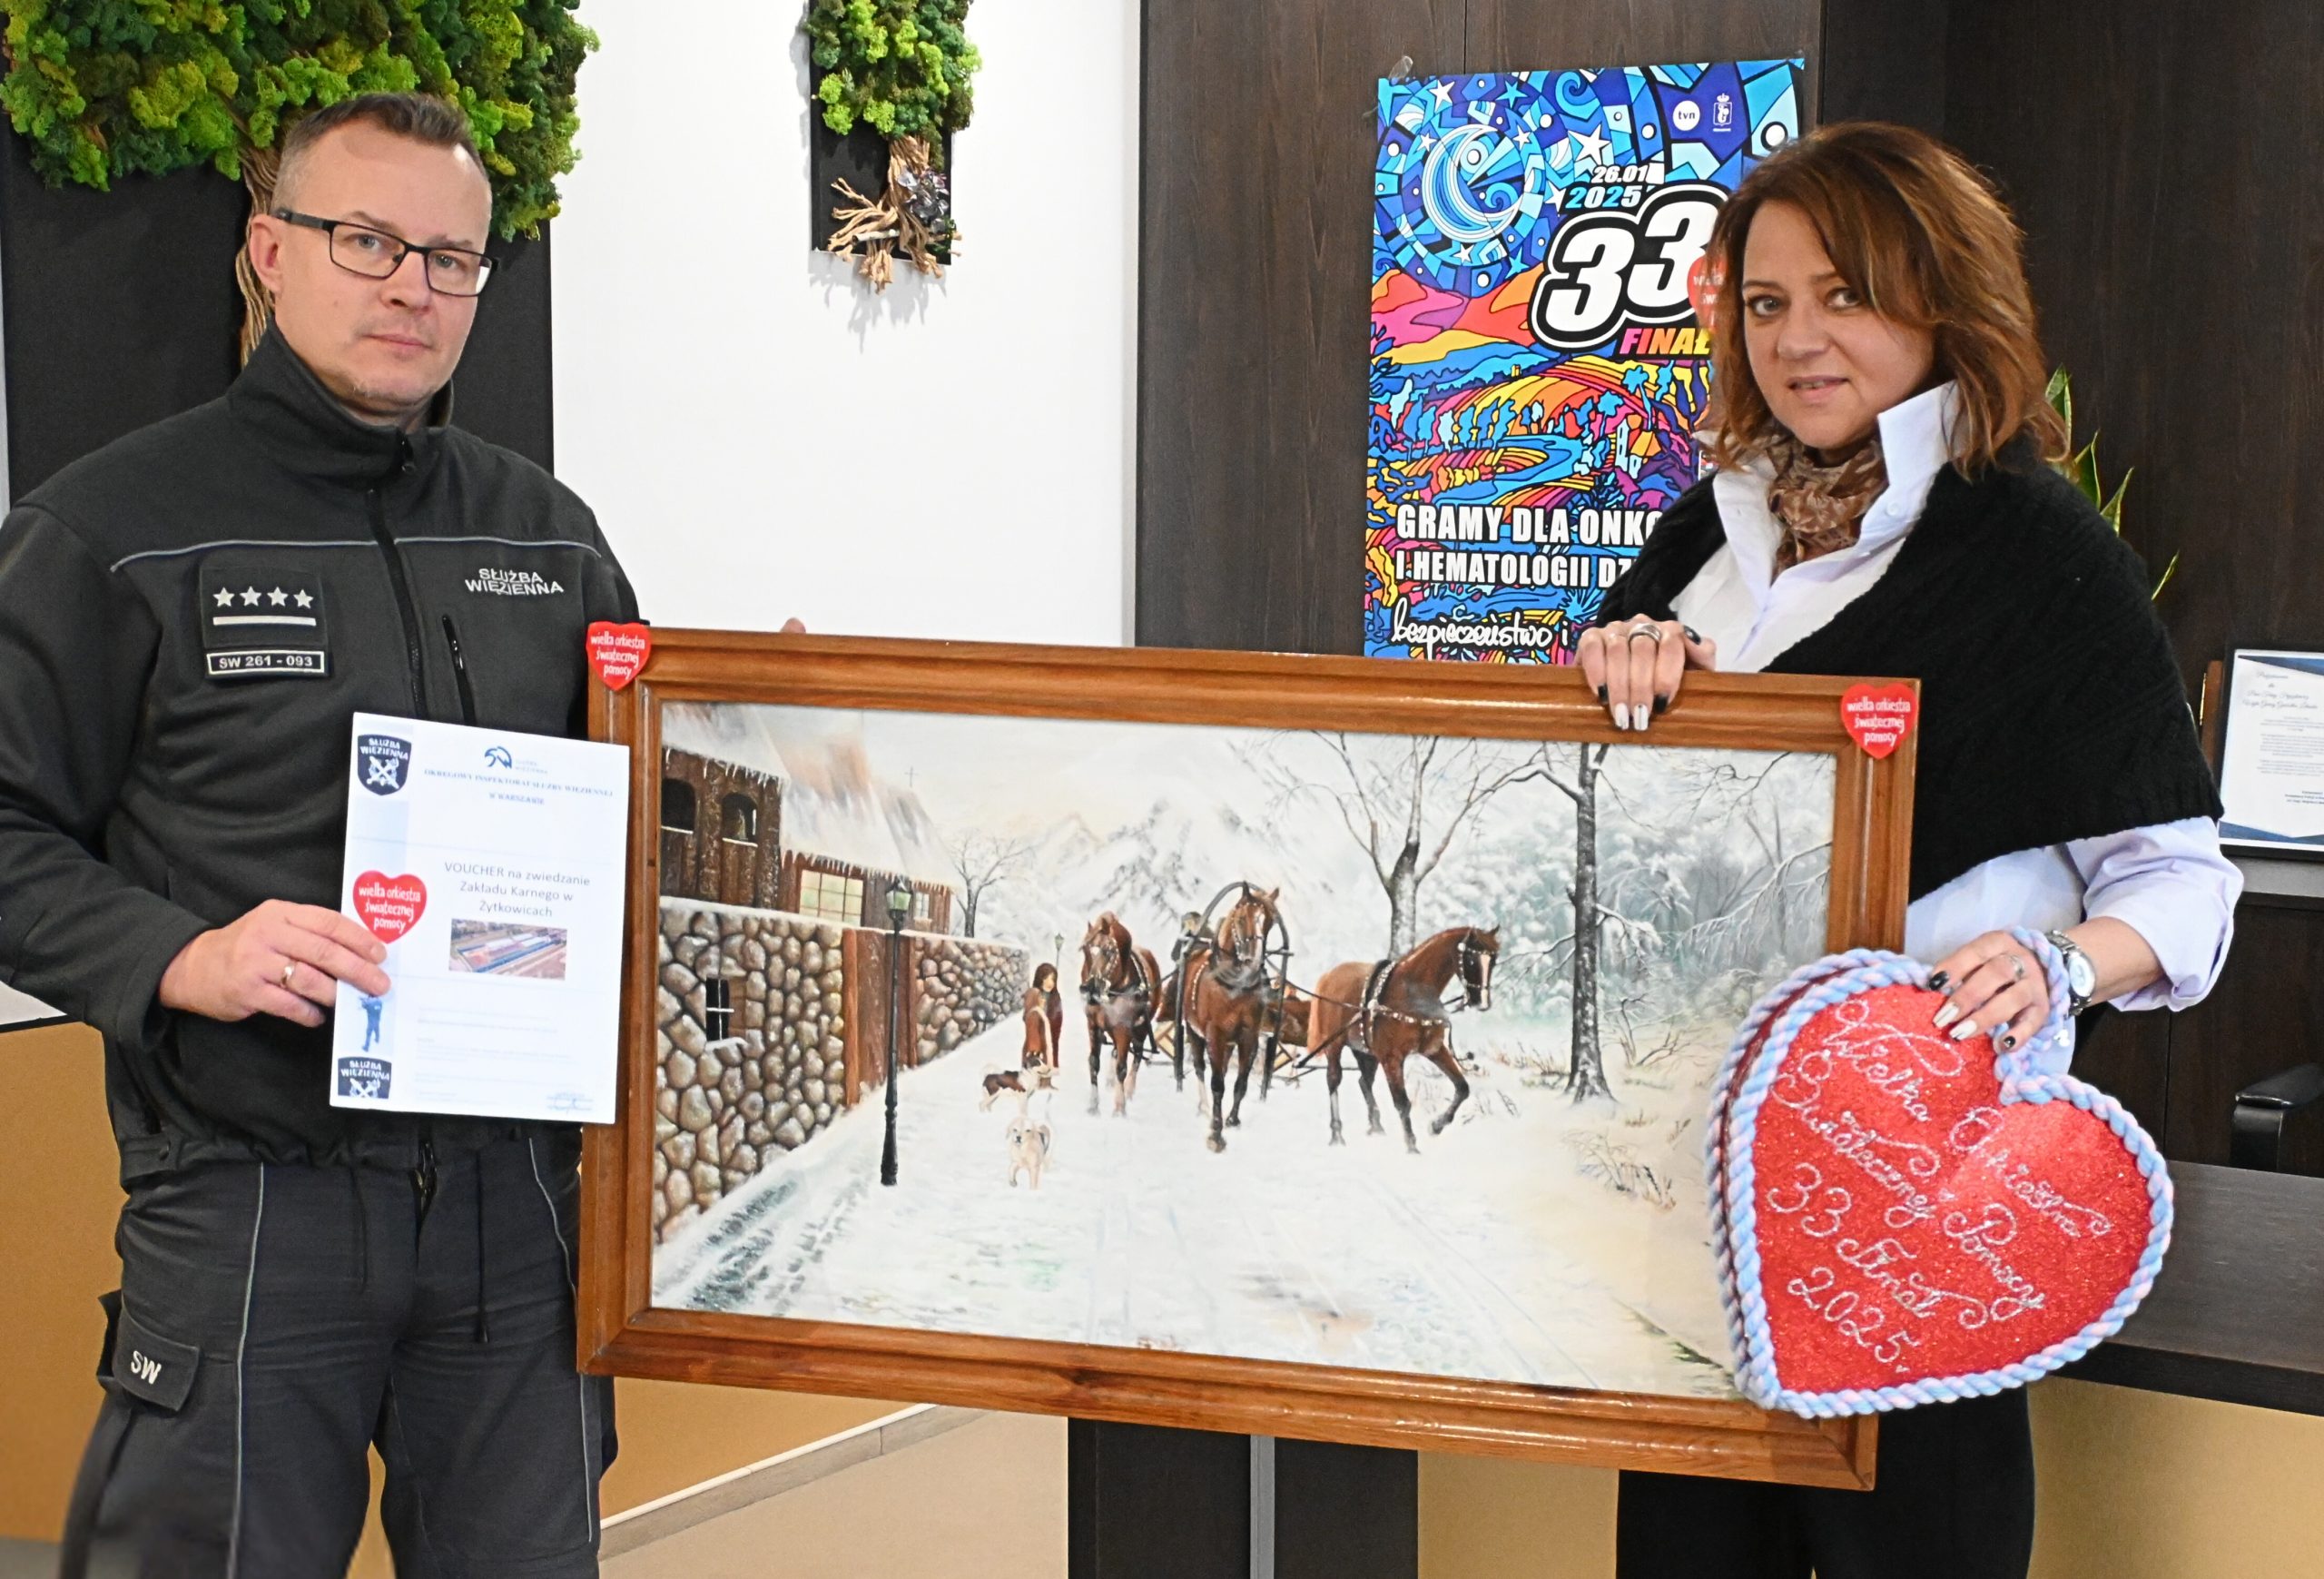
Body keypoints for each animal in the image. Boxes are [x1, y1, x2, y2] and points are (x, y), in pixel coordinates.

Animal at [1082, 906, 1162, 1116]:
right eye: (1085, 949)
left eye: (1109, 951)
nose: (1089, 988)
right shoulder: (1093, 1025)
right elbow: (1094, 1063)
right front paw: (1093, 1105)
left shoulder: (1123, 1030)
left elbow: (1122, 1068)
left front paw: (1119, 1108)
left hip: (1140, 1030)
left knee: (1137, 1056)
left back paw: (1129, 1089)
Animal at [1180, 883, 1292, 1153]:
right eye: (1242, 919)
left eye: (1269, 922)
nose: (1254, 961)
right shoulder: (1214, 1035)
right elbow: (1217, 1083)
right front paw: (1216, 1134)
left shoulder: (1248, 1037)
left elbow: (1241, 1082)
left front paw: (1232, 1119)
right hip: (1193, 1030)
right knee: (1200, 1069)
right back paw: (1204, 1107)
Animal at [1301, 925, 1496, 1149]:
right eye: (1471, 960)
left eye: (1494, 961)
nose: (1482, 1002)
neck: (1410, 993)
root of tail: (1329, 976)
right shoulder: (1391, 1058)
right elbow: (1402, 1102)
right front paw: (1411, 1146)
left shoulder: (1434, 1049)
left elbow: (1462, 1087)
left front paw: (1437, 1125)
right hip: (1334, 1045)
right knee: (1334, 1080)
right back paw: (1337, 1134)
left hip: (1365, 1051)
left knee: (1364, 1081)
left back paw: (1376, 1126)